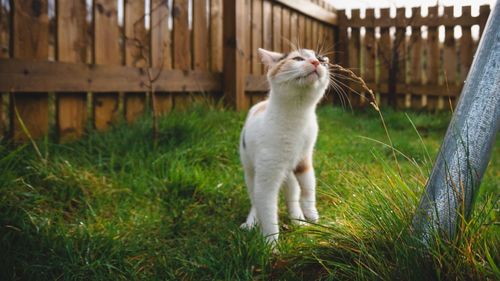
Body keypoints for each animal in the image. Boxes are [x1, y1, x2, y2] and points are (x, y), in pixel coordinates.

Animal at [239, 48, 330, 245]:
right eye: (298, 58)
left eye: (321, 60)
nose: (316, 62)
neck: (297, 115)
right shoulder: (267, 176)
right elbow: (267, 211)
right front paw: (271, 246)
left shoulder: (304, 159)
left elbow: (309, 188)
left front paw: (312, 215)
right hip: (250, 171)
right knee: (254, 199)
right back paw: (251, 222)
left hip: (289, 173)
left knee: (293, 193)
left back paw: (298, 220)